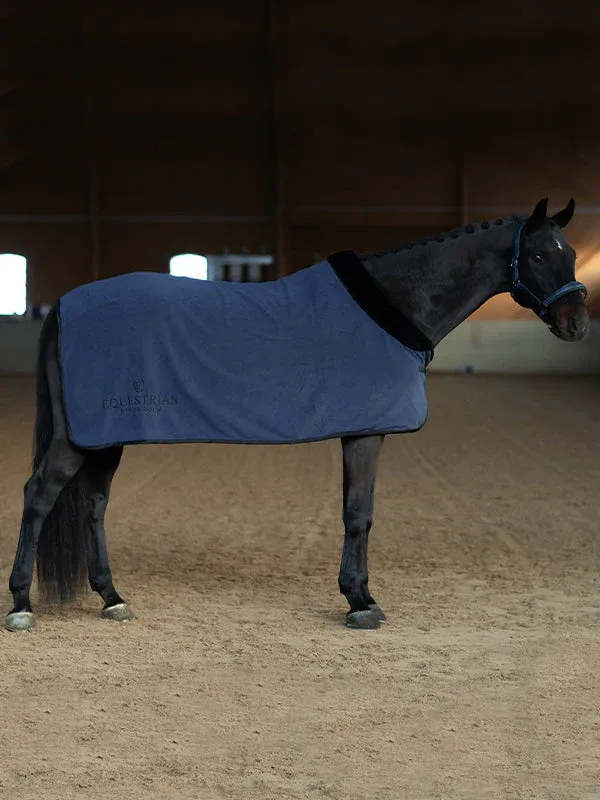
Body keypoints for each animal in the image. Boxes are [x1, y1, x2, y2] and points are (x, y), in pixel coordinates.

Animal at [4, 197, 589, 633]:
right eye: (539, 256)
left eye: (572, 252)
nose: (577, 324)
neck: (395, 305)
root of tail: (64, 304)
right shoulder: (365, 433)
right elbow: (359, 514)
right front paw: (360, 602)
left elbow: (359, 513)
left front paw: (359, 595)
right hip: (81, 437)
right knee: (39, 495)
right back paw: (21, 605)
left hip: (105, 435)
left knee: (94, 505)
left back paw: (112, 598)